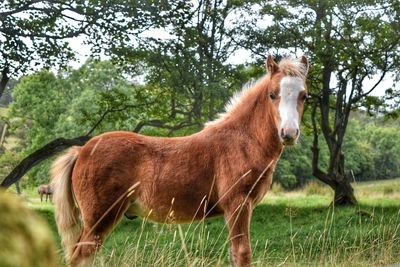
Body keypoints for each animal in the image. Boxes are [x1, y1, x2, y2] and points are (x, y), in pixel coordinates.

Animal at [50, 55, 310, 266]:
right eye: (272, 94)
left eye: (304, 96)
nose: (288, 133)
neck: (242, 140)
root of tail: (82, 150)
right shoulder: (237, 204)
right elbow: (242, 254)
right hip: (99, 218)